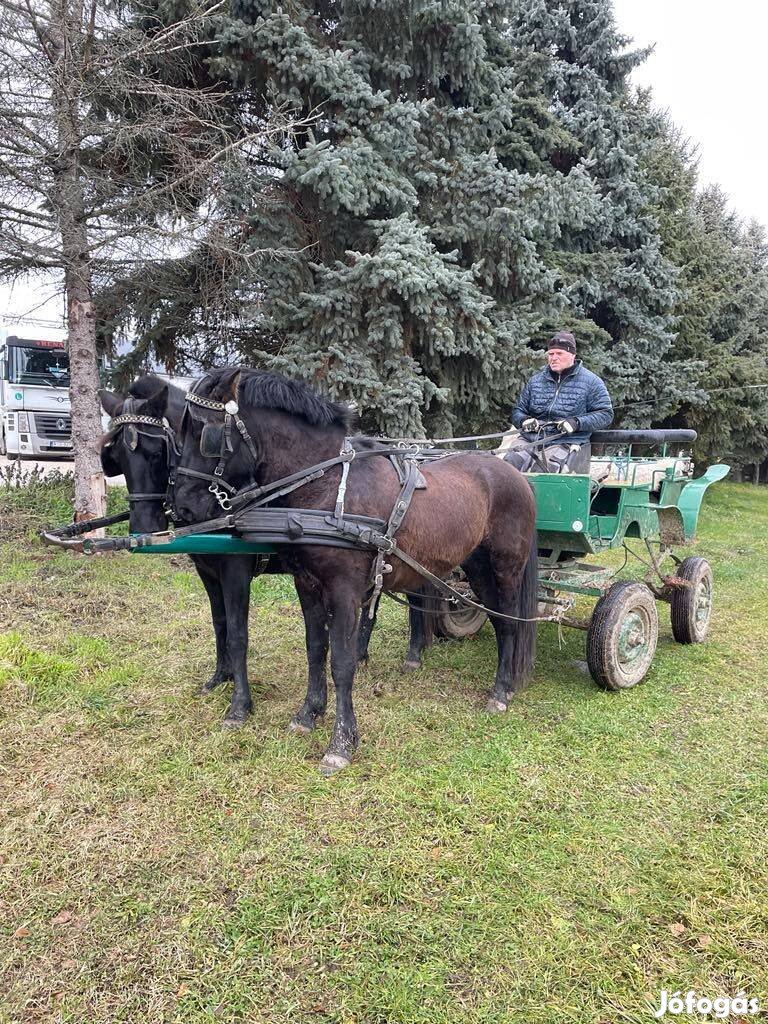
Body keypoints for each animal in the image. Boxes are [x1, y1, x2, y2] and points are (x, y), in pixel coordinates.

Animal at [173, 364, 540, 770]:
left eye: (204, 434)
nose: (184, 505)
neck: (329, 486)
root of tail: (515, 475)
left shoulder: (344, 589)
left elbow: (342, 661)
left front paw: (340, 743)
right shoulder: (306, 583)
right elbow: (315, 648)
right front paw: (308, 714)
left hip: (506, 566)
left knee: (509, 623)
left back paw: (501, 691)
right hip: (476, 566)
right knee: (495, 619)